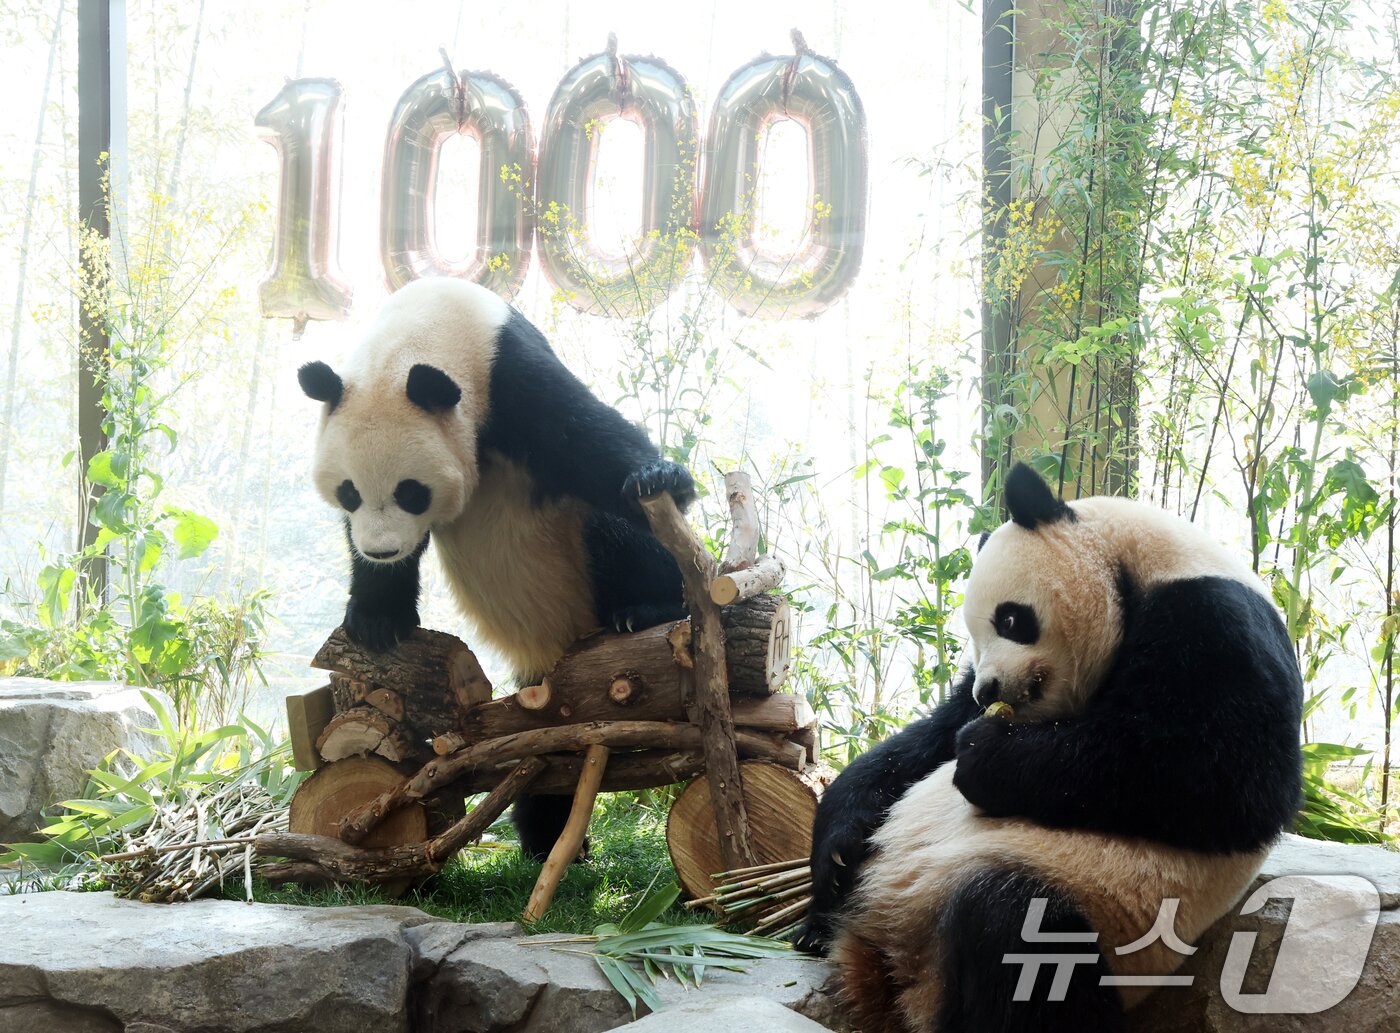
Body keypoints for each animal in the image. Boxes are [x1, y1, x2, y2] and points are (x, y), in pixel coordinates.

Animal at [297, 277, 694, 858]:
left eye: (411, 492)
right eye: (349, 491)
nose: (384, 551)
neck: (420, 332)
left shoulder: (510, 369)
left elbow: (588, 437)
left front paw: (661, 476)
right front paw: (376, 619)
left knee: (617, 528)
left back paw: (643, 610)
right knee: (542, 760)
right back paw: (547, 839)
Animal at [795, 463, 1303, 1033]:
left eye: (1010, 619)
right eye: (974, 642)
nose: (988, 691)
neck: (1139, 567)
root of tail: (902, 979)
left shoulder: (1219, 626)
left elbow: (1231, 782)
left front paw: (983, 755)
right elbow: (922, 743)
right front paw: (837, 848)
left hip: (1103, 912)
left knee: (1016, 934)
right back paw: (818, 926)